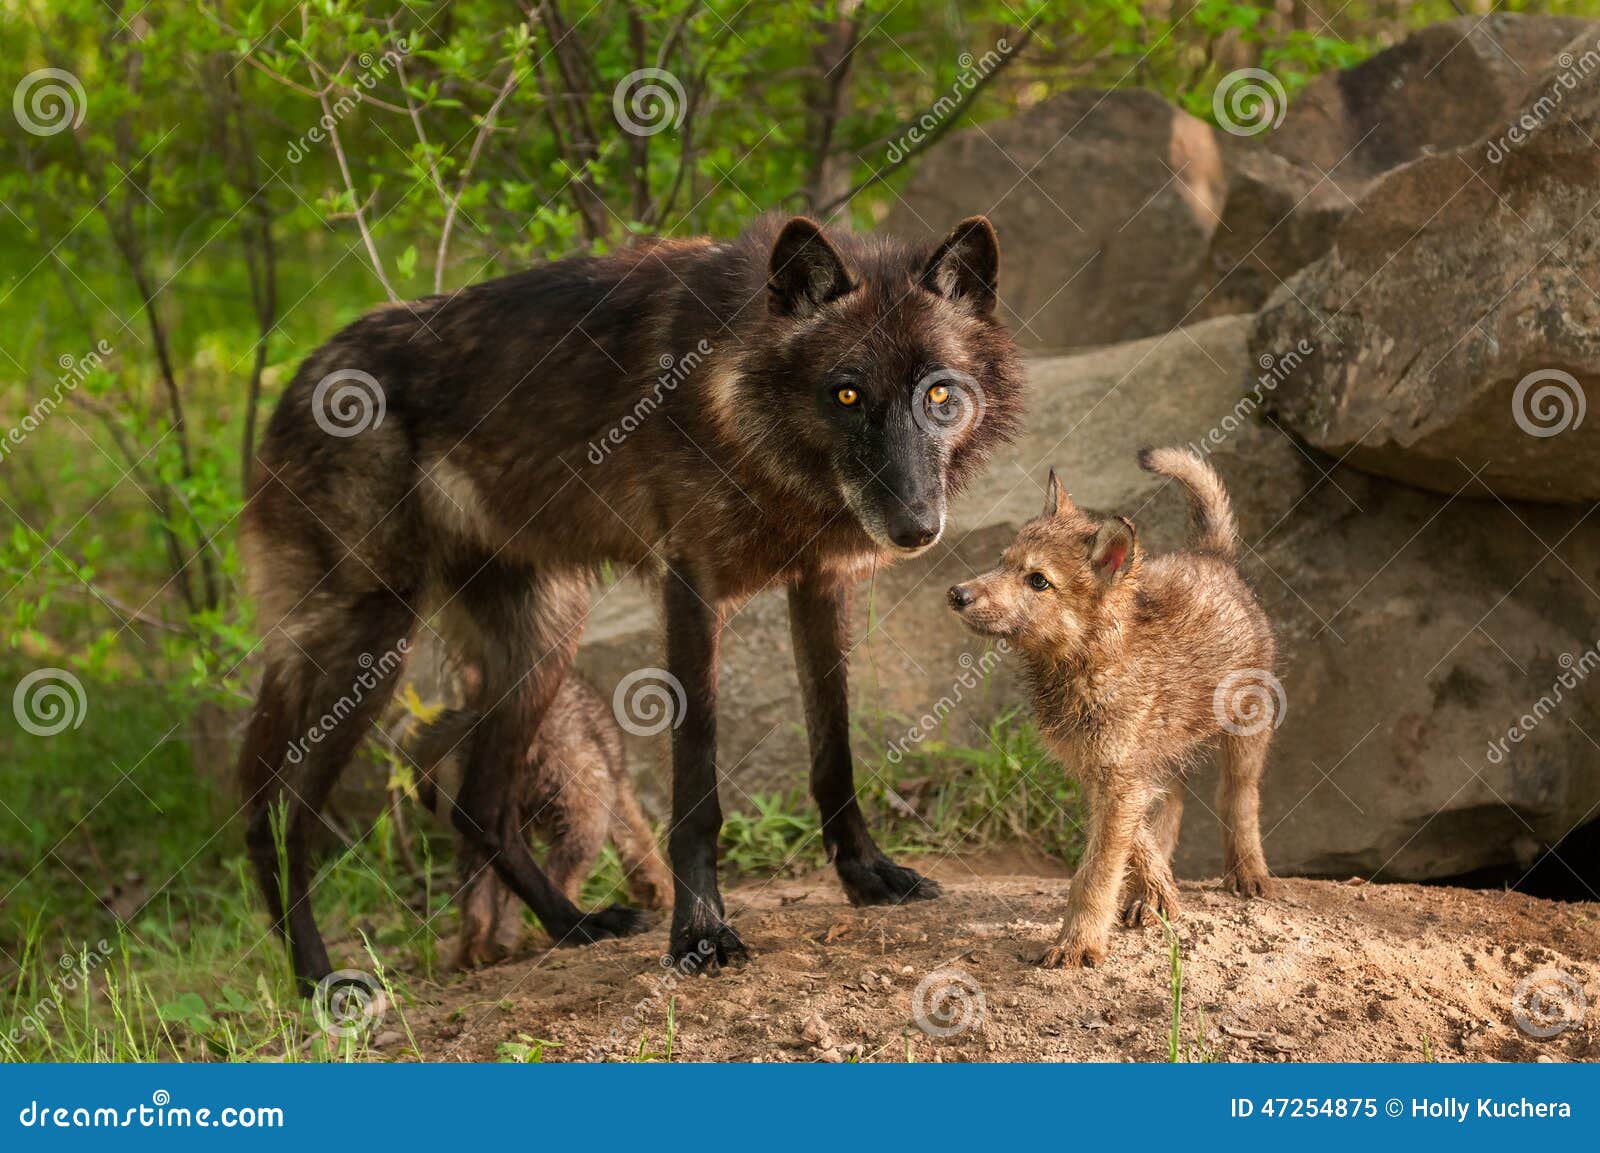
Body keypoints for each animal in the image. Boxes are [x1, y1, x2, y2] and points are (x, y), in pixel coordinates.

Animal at [240, 215, 1024, 991]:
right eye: (848, 395)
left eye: (941, 395)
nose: (917, 528)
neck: (739, 406)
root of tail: (294, 382)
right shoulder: (691, 589)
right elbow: (697, 787)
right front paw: (701, 932)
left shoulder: (820, 582)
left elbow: (835, 756)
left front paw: (865, 874)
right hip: (374, 645)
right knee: (278, 815)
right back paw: (318, 979)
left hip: (541, 643)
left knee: (477, 808)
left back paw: (574, 925)